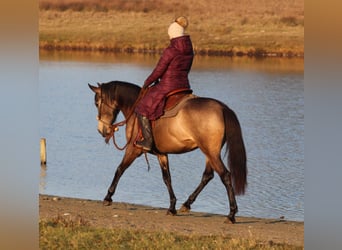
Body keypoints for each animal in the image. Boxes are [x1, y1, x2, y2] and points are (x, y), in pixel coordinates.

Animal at [88, 80, 247, 223]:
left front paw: (108, 197)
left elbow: (120, 169)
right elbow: (167, 178)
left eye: (96, 103)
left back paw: (231, 214)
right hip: (210, 153)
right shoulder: (162, 154)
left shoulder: (133, 150)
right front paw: (172, 207)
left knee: (225, 176)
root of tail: (222, 108)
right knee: (207, 176)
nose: (101, 130)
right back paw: (187, 204)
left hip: (211, 153)